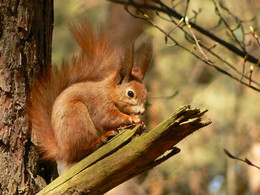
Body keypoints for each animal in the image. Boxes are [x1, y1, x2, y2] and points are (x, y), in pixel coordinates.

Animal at [27, 21, 151, 175]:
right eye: (130, 93)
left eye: (146, 93)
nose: (141, 111)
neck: (109, 92)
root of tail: (63, 151)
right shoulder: (100, 103)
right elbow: (106, 118)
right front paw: (133, 119)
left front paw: (142, 123)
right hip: (77, 117)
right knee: (83, 150)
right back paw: (101, 140)